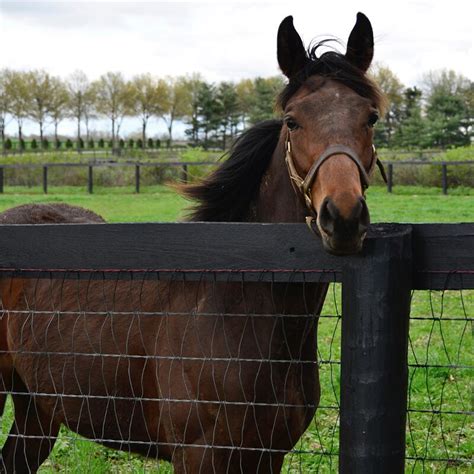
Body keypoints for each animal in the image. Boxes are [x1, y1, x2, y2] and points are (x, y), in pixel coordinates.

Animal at [0, 12, 386, 474]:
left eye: (371, 118)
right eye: (293, 120)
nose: (342, 216)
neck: (236, 307)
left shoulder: (268, 455)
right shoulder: (199, 456)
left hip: (37, 404)